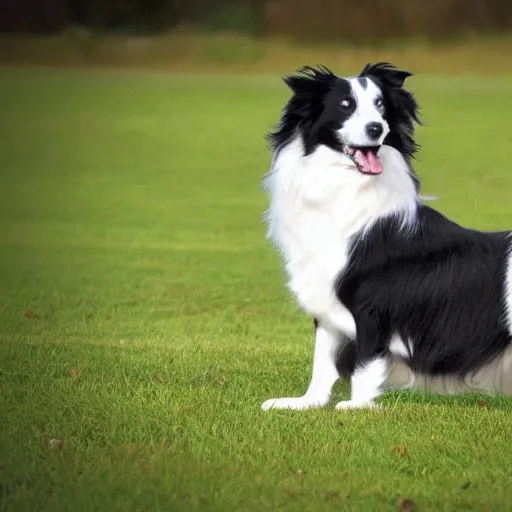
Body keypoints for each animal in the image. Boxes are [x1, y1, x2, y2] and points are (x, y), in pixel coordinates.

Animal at [264, 63, 512, 412]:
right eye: (345, 105)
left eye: (381, 106)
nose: (375, 128)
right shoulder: (327, 303)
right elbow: (322, 360)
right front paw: (306, 403)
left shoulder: (372, 308)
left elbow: (365, 362)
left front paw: (358, 406)